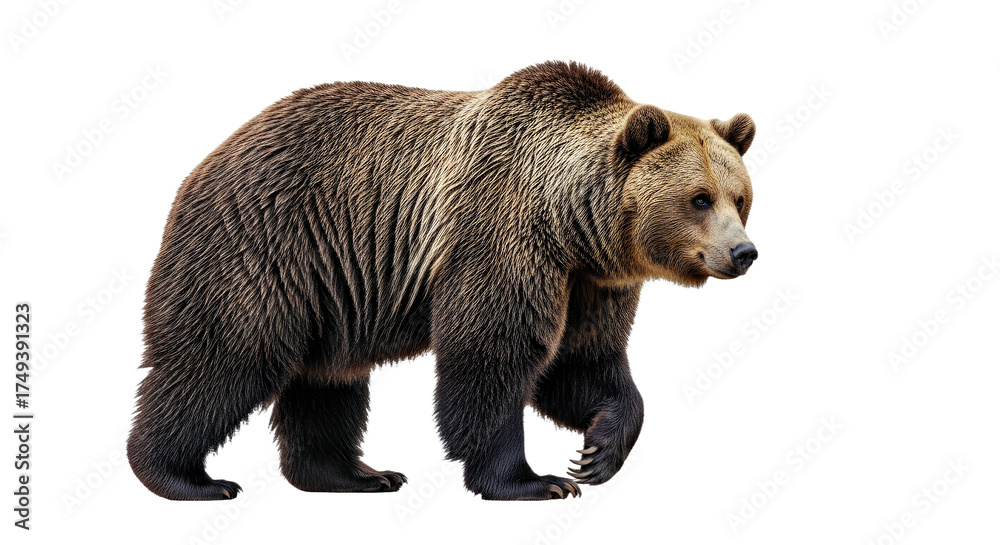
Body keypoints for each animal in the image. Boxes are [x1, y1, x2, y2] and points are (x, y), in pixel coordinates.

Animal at [127, 60, 758, 501]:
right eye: (700, 198)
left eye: (741, 197)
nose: (744, 252)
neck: (572, 223)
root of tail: (208, 159)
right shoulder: (501, 232)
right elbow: (492, 355)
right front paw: (534, 480)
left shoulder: (591, 281)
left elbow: (582, 361)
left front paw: (597, 452)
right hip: (268, 245)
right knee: (223, 358)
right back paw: (185, 477)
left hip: (331, 289)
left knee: (328, 380)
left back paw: (357, 474)